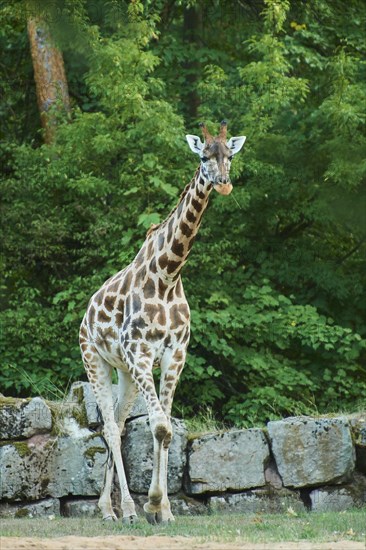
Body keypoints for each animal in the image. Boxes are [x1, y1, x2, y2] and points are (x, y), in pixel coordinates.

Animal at [79, 121, 246, 528]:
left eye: (230, 156)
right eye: (204, 156)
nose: (223, 183)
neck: (168, 275)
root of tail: (86, 312)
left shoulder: (174, 354)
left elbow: (165, 429)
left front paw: (165, 509)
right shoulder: (140, 353)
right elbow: (158, 425)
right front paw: (151, 504)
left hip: (124, 372)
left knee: (120, 424)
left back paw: (110, 508)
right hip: (95, 360)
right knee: (110, 427)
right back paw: (122, 511)